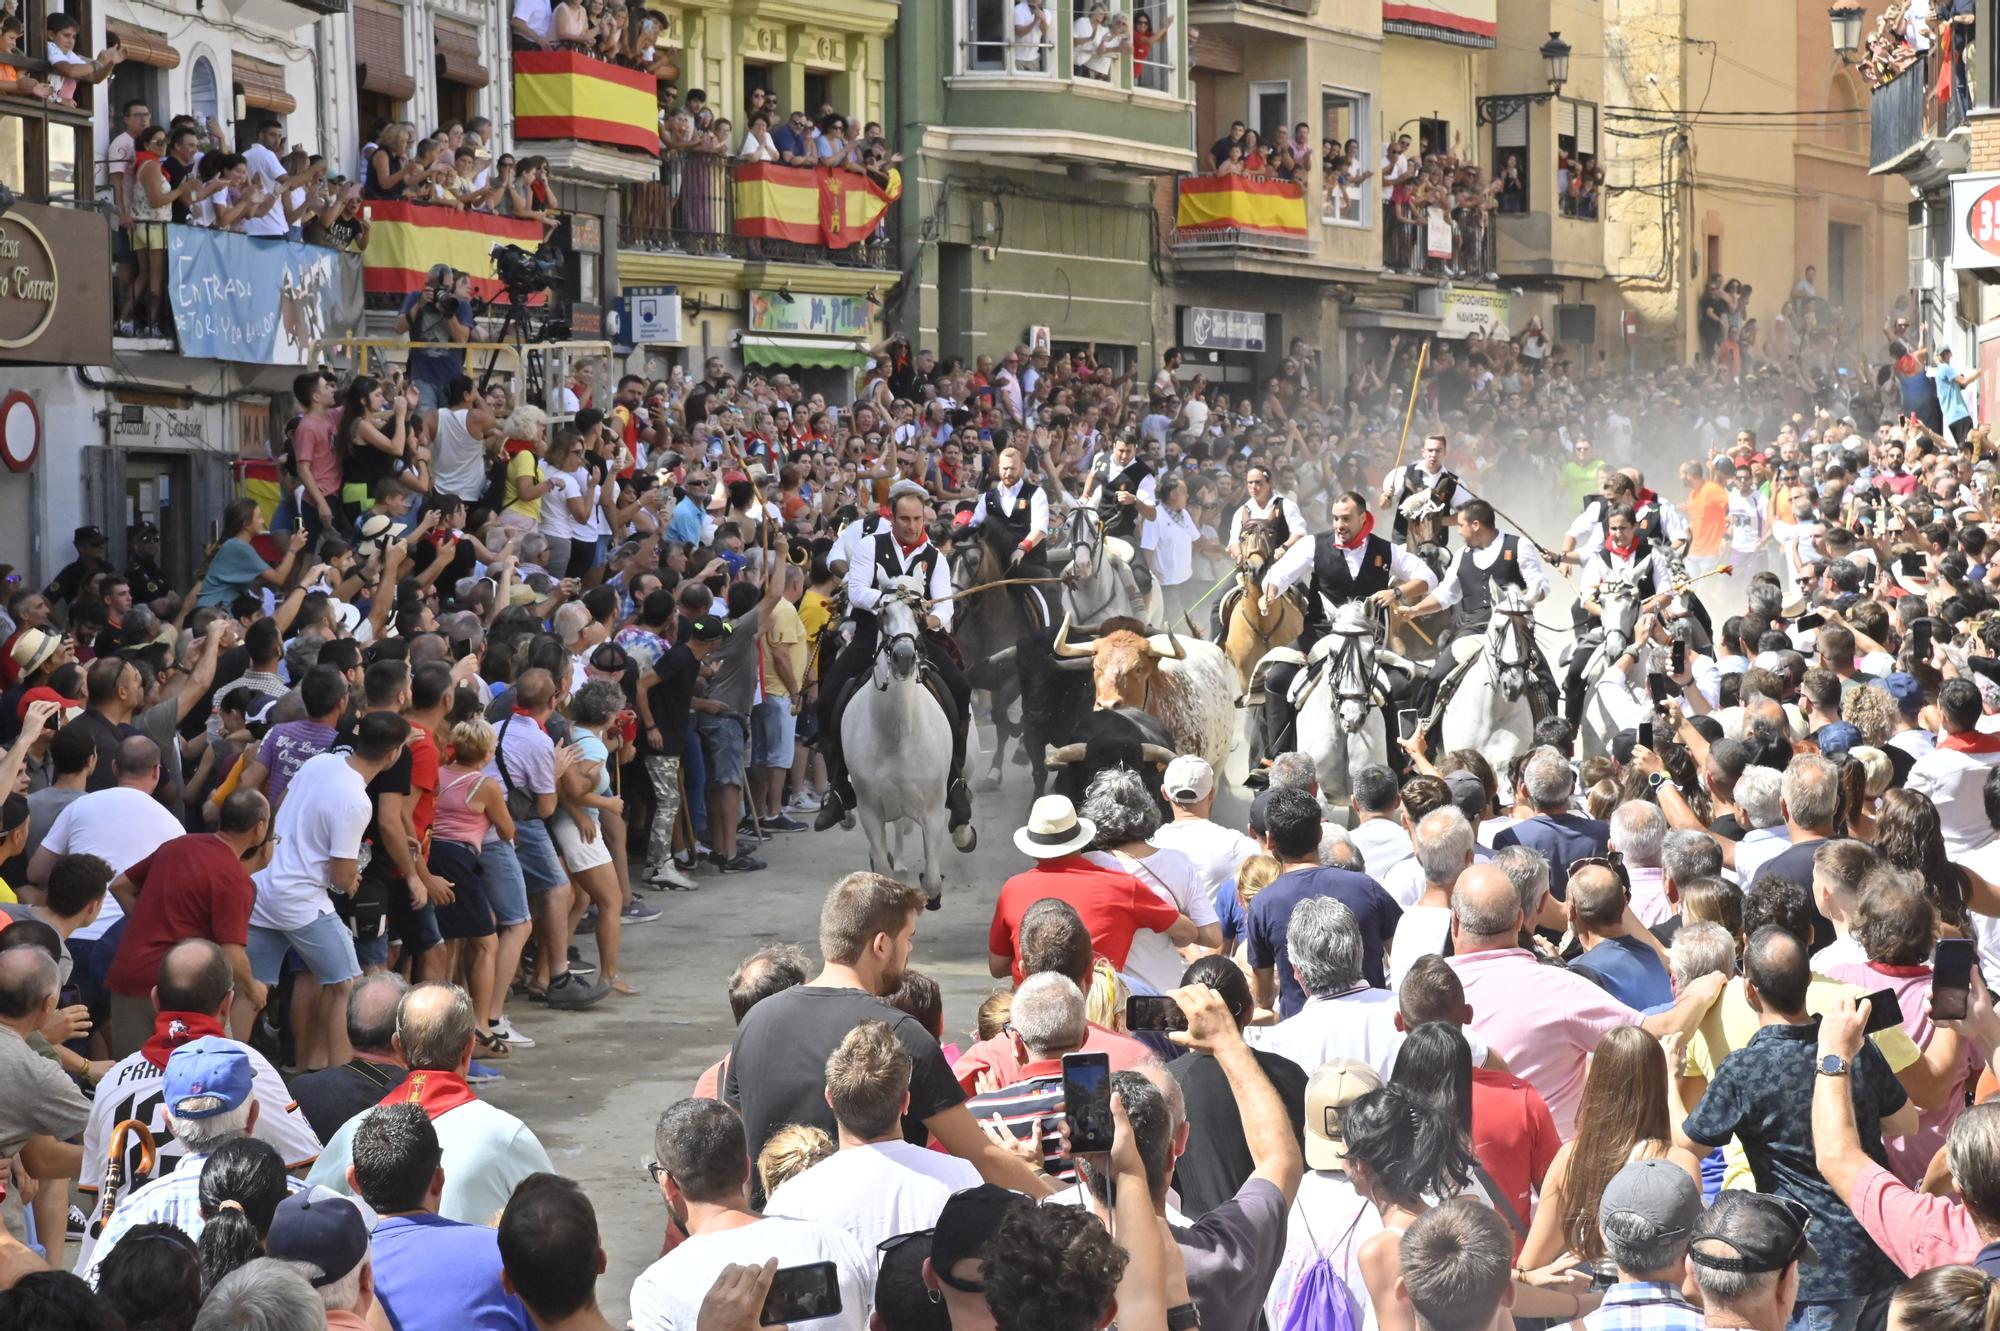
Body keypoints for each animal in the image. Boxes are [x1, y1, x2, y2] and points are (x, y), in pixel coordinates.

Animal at [844, 571, 960, 903]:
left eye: (920, 614)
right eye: (883, 612)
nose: (904, 657)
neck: (896, 737)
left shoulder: (933, 812)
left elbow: (931, 882)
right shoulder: (870, 812)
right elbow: (881, 874)